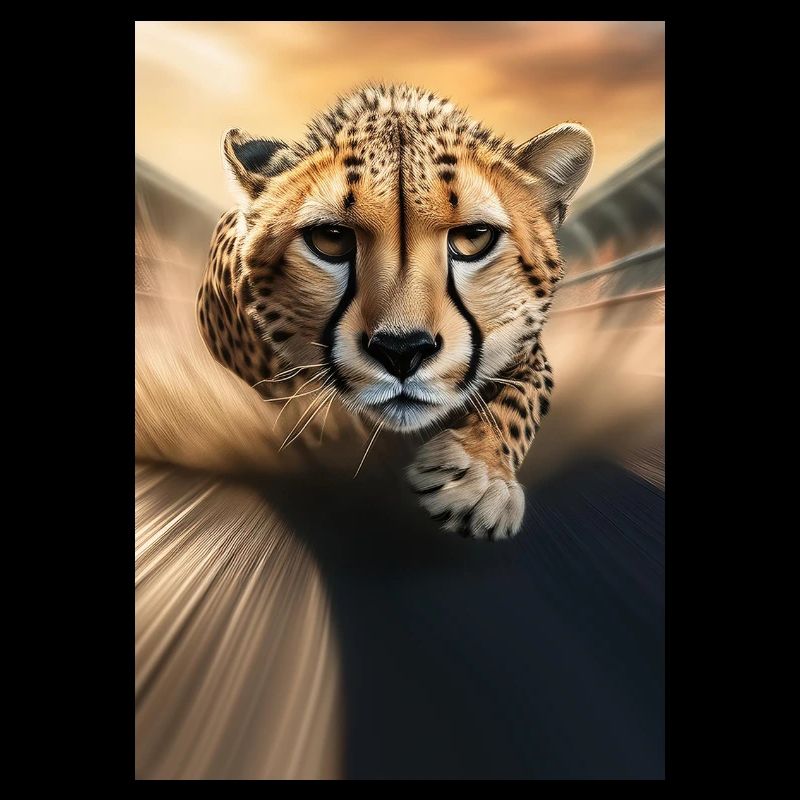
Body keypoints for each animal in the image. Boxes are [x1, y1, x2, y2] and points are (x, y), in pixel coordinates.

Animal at [196, 83, 593, 540]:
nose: (402, 351)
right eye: (330, 238)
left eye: (474, 237)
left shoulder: (525, 349)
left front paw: (478, 474)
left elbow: (522, 398)